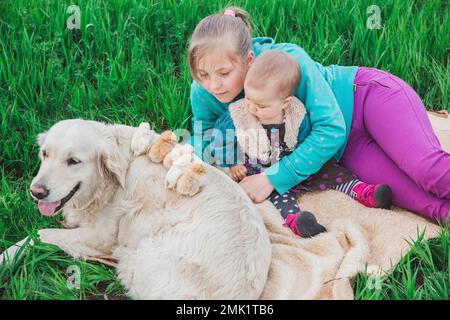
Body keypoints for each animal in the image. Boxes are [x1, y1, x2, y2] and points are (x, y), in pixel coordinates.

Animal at [1, 119, 270, 298]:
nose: (36, 192)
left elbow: (39, 234)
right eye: (45, 154)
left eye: (73, 161)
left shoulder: (101, 236)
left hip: (136, 259)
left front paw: (7, 256)